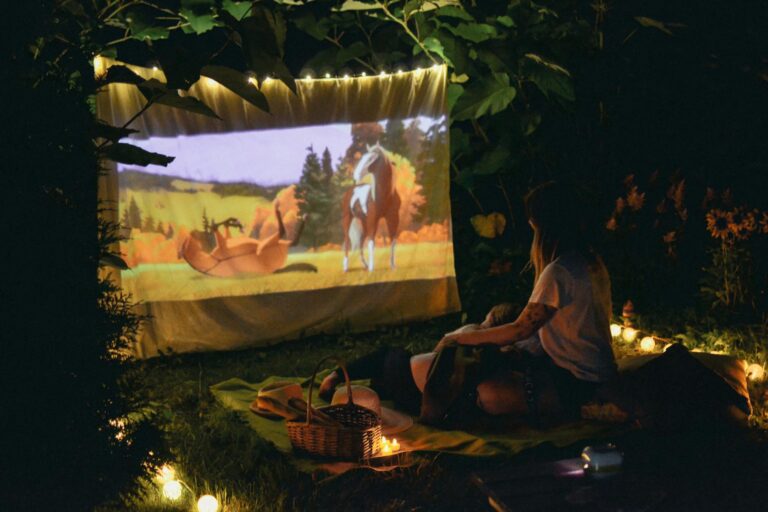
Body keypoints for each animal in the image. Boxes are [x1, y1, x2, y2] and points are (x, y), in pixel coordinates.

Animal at [182, 204, 310, 278]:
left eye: (197, 234)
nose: (190, 234)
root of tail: (274, 271)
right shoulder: (222, 245)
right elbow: (217, 229)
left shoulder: (226, 240)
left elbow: (225, 227)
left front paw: (235, 222)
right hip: (267, 245)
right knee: (285, 234)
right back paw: (279, 209)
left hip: (272, 244)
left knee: (292, 241)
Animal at [342, 143, 402, 272]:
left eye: (371, 159)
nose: (355, 175)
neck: (385, 196)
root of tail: (351, 190)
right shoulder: (373, 219)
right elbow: (371, 242)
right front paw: (371, 269)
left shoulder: (393, 218)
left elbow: (392, 240)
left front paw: (393, 266)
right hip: (348, 219)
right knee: (347, 241)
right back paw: (346, 267)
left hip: (364, 221)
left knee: (360, 241)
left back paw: (364, 265)